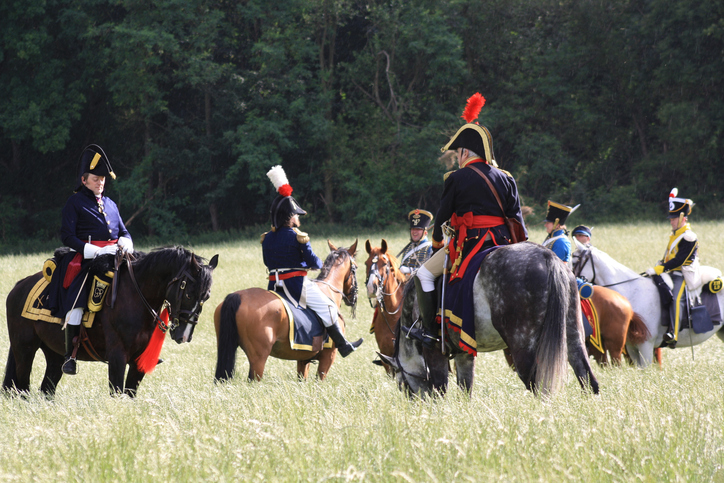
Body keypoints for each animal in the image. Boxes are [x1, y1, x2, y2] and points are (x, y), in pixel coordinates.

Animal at [3, 248, 218, 398]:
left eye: (206, 297)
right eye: (188, 294)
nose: (184, 335)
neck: (136, 296)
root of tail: (18, 286)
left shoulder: (138, 362)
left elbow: (130, 394)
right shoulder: (117, 358)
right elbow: (117, 392)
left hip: (55, 355)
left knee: (46, 389)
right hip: (24, 350)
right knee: (22, 388)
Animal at [214, 240, 360, 384]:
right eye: (355, 268)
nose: (353, 298)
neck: (328, 291)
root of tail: (237, 296)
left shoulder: (303, 358)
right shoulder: (328, 356)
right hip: (258, 358)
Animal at [378, 242, 600, 398]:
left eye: (401, 385)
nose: (416, 405)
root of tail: (547, 256)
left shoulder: (434, 351)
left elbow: (441, 389)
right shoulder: (463, 352)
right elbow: (465, 390)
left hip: (523, 347)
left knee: (538, 386)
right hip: (572, 335)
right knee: (588, 378)